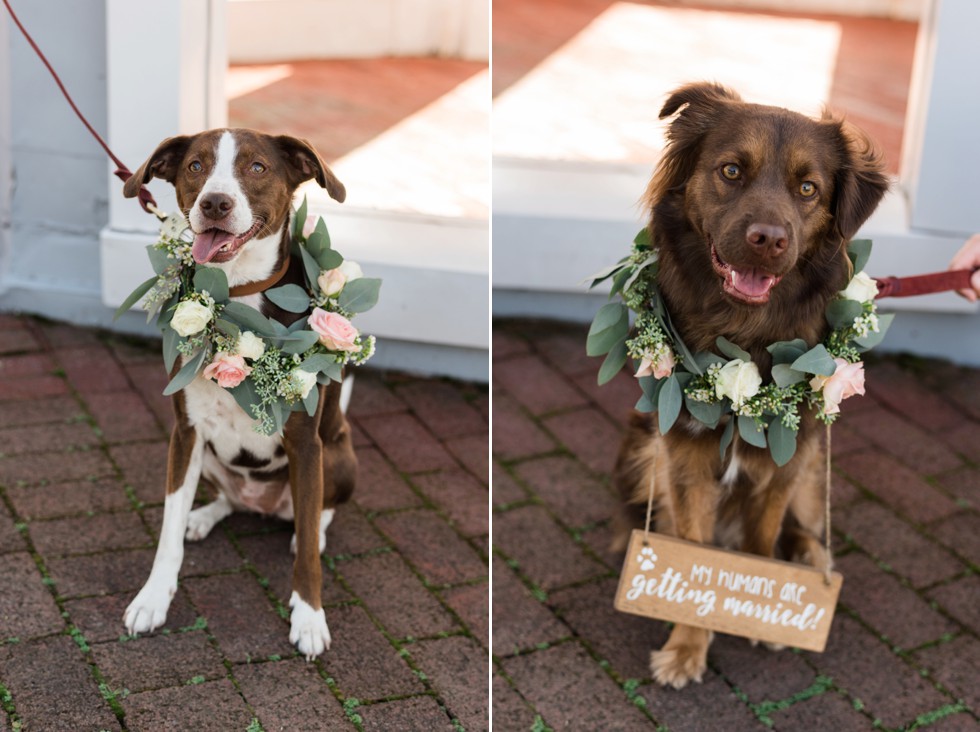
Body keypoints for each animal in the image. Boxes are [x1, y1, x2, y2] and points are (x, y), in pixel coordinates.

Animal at [120, 130, 354, 656]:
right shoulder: (185, 433)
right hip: (207, 456)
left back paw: (310, 532)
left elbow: (308, 551)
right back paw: (205, 516)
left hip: (339, 457)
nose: (215, 203)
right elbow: (167, 530)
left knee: (318, 514)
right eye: (195, 165)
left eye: (258, 167)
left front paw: (310, 617)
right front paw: (153, 598)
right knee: (226, 499)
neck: (238, 299)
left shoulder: (305, 443)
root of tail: (261, 505)